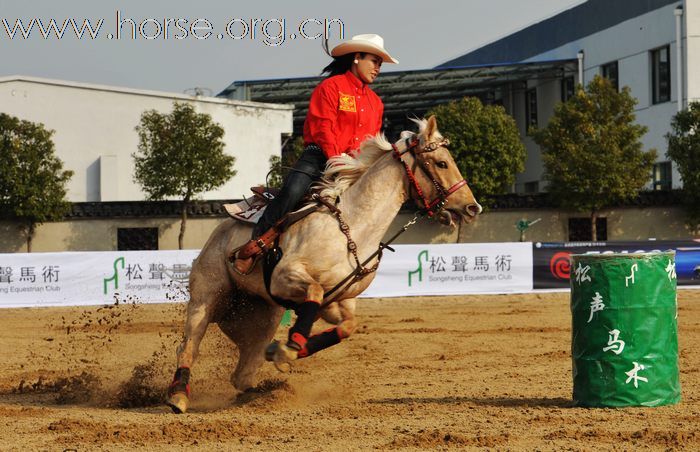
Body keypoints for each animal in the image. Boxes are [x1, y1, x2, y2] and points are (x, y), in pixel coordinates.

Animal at [165, 115, 482, 412]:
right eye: (441, 163)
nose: (472, 207)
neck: (353, 227)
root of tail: (222, 228)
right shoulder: (285, 276)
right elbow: (314, 292)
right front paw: (289, 348)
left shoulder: (336, 300)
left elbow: (346, 326)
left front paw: (284, 350)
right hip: (207, 296)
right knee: (188, 346)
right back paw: (178, 395)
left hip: (263, 314)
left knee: (242, 373)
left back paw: (262, 392)